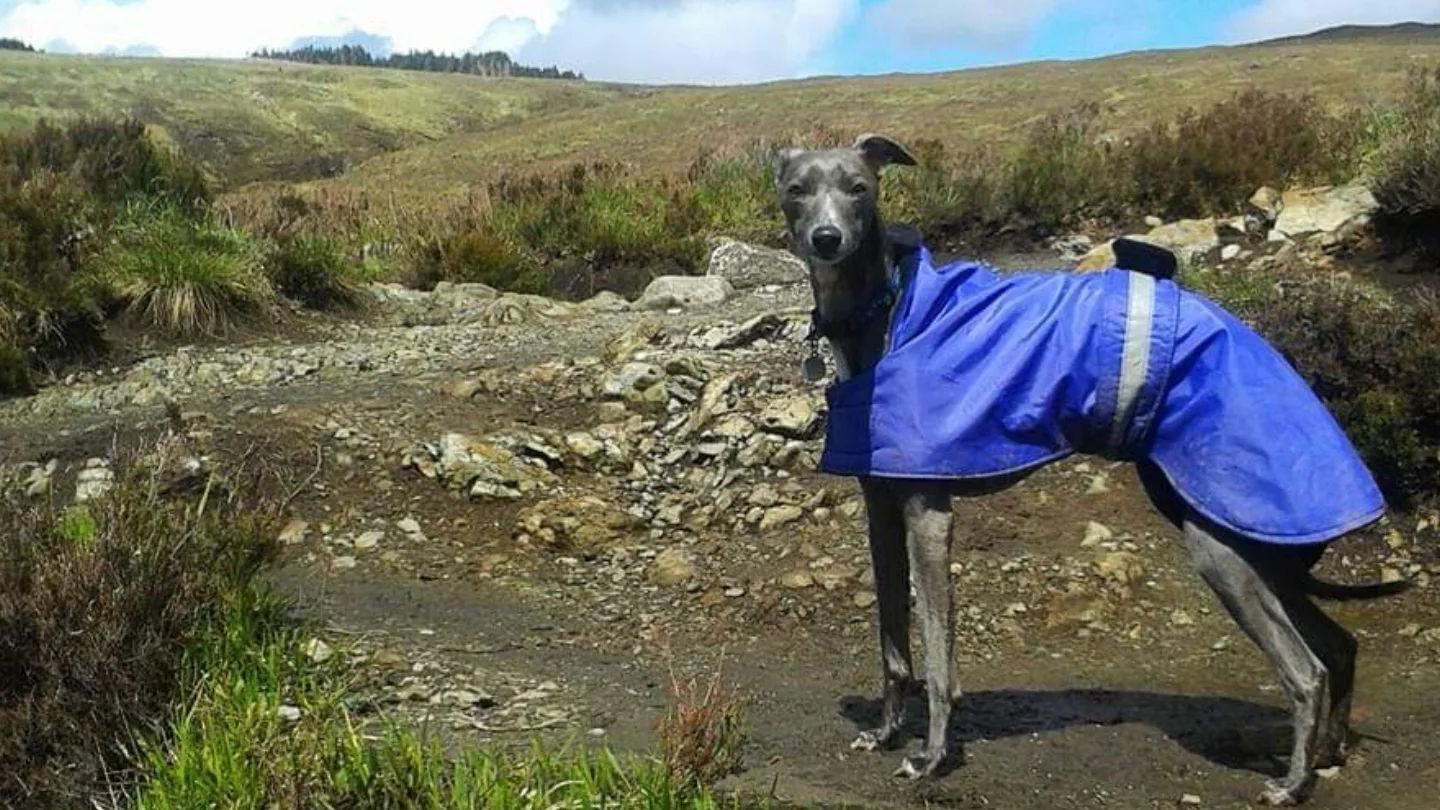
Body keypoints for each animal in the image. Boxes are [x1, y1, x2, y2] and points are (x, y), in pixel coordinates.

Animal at [783, 132, 1399, 801]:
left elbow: (939, 652)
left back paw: (1290, 781)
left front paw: (933, 755)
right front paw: (887, 733)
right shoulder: (881, 510)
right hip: (1256, 538)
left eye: (859, 188)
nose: (826, 239)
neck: (891, 311)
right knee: (1341, 646)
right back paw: (1327, 754)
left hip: (1225, 547)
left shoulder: (928, 513)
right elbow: (893, 642)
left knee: (1307, 671)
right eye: (795, 190)